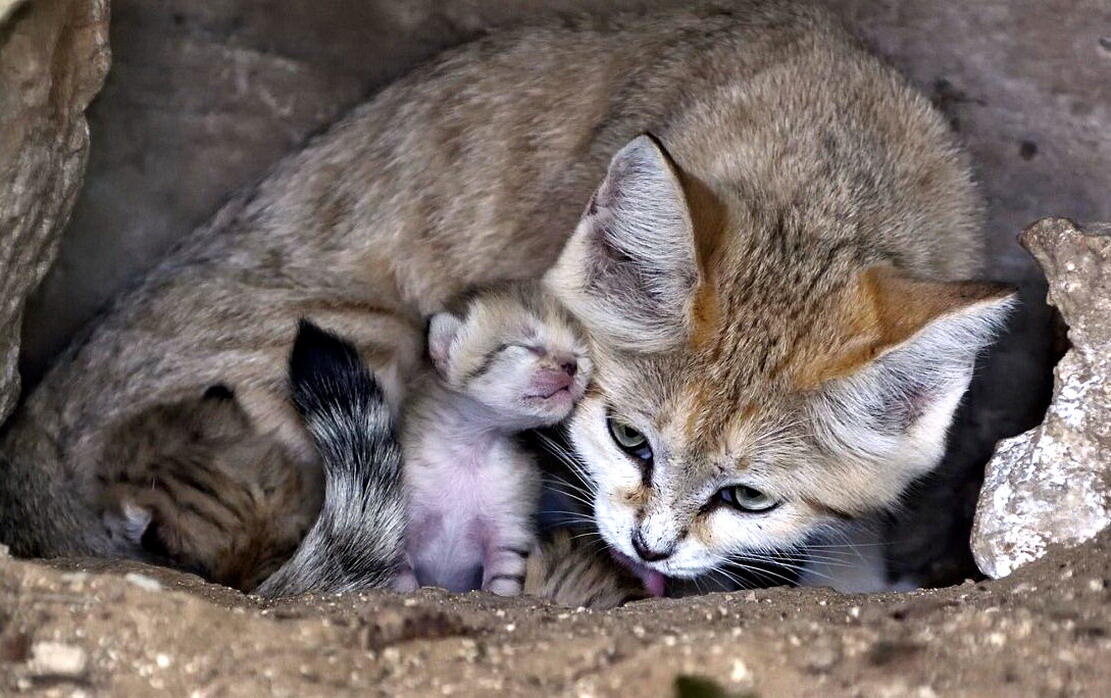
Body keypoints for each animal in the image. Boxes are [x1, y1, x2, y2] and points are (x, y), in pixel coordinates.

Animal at [397, 281, 595, 595]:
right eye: (529, 346)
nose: (571, 364)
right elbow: (401, 578)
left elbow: (502, 586)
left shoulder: (507, 535)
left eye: (580, 353)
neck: (470, 451)